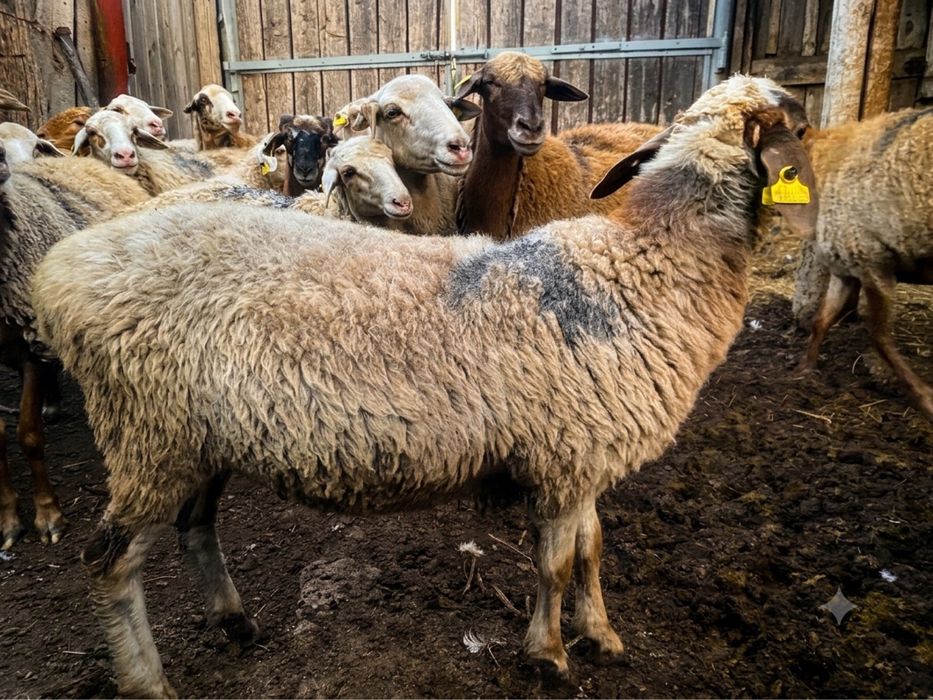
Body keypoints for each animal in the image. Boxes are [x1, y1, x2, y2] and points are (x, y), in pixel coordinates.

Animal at [792, 106, 933, 418]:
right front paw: (805, 371)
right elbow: (822, 321)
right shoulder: (845, 267)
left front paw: (923, 396)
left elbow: (878, 335)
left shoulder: (871, 262)